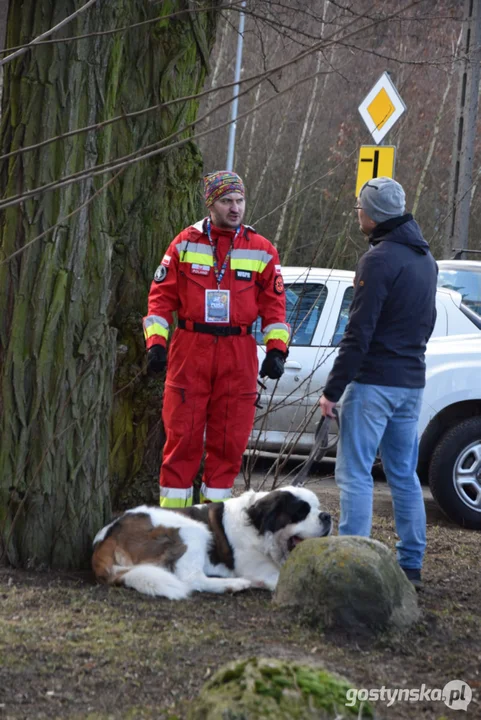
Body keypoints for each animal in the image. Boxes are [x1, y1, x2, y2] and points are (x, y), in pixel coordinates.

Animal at [91, 486, 330, 600]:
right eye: (301, 512)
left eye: (318, 507)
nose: (327, 516)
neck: (258, 529)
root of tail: (107, 534)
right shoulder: (262, 570)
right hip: (193, 529)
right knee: (192, 580)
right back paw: (234, 584)